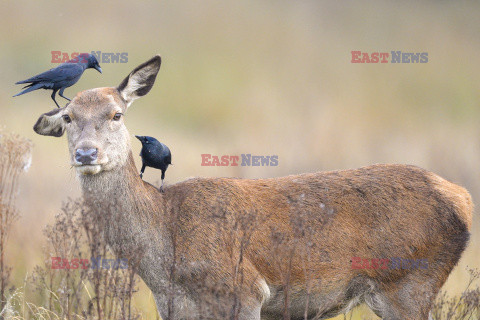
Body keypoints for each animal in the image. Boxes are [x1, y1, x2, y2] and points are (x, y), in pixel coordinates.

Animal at [32, 53, 472, 318]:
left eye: (117, 114)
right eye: (68, 117)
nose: (86, 153)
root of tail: (462, 199)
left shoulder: (244, 291)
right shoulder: (173, 306)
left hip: (409, 281)